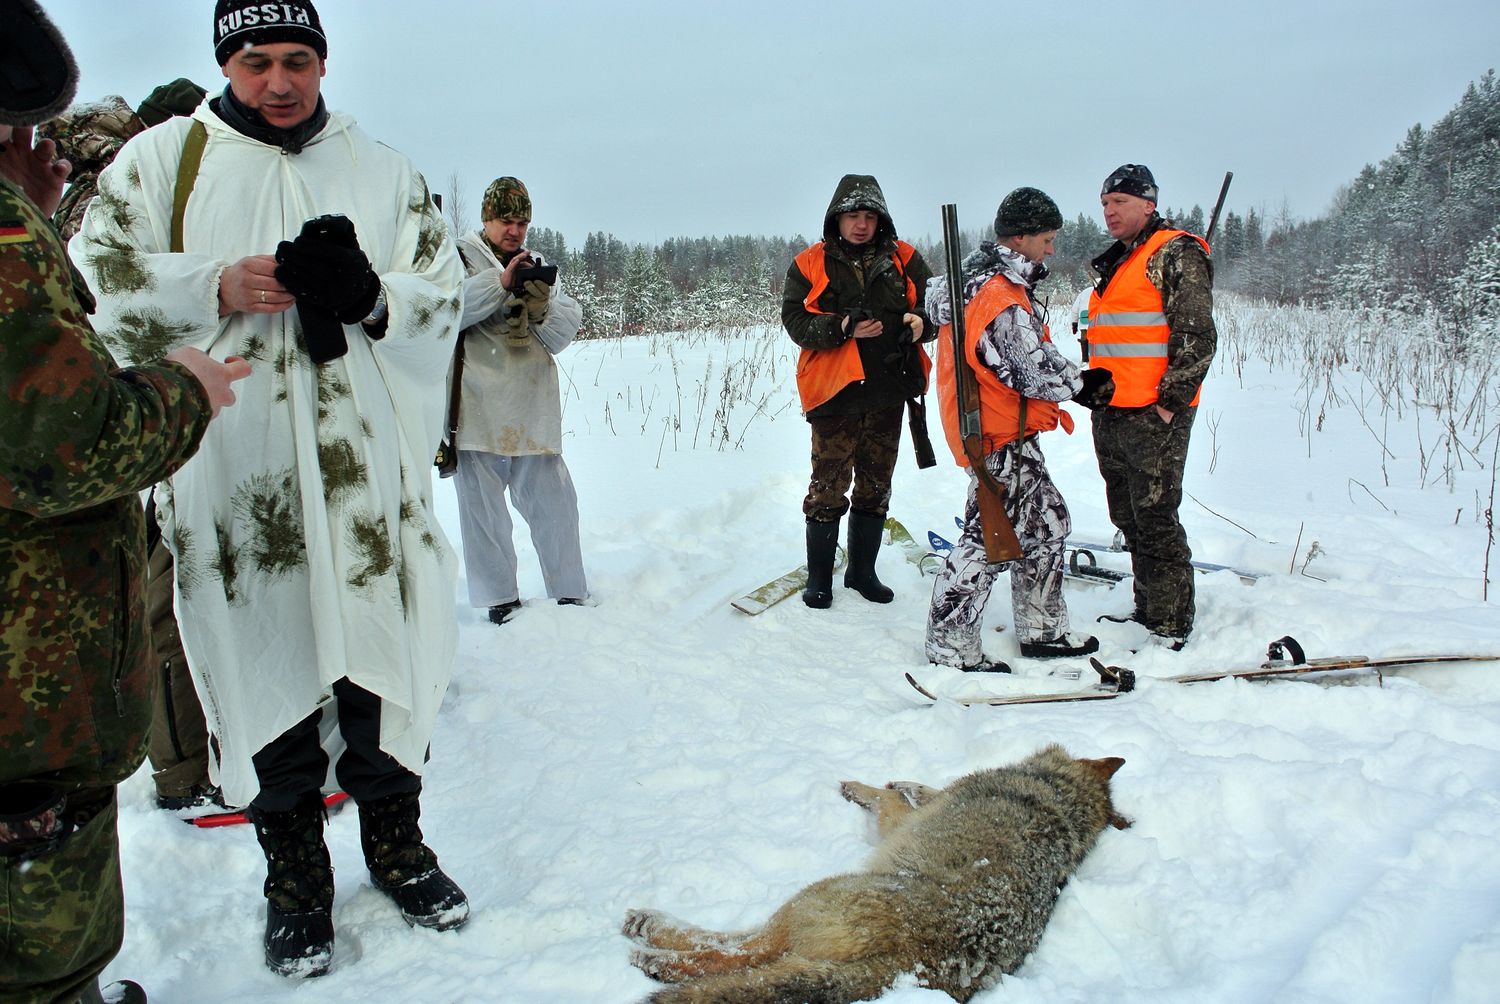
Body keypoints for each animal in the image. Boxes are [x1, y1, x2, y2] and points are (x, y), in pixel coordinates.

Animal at [622, 744, 1129, 1004]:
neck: (1060, 796)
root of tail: (918, 962)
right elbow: (916, 790)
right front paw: (904, 781)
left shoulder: (902, 825)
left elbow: (894, 801)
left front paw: (868, 786)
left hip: (814, 895)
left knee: (735, 951)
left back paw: (652, 942)